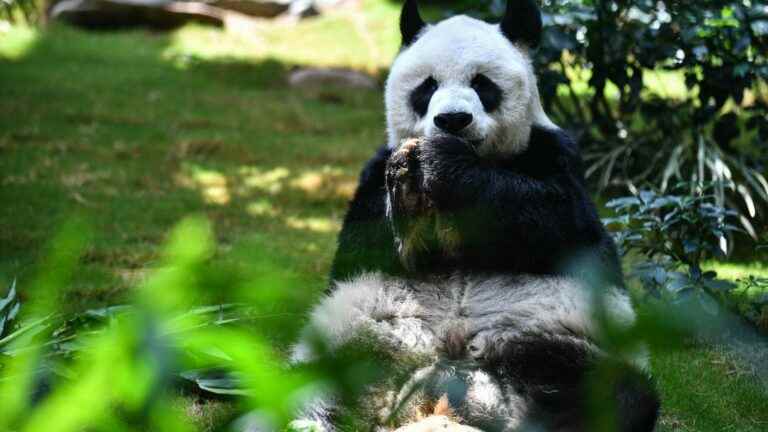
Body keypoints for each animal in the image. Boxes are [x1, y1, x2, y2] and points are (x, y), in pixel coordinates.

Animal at [288, 1, 660, 430]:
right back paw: (312, 418)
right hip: (359, 341)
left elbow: (553, 216)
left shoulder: (556, 155)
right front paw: (411, 195)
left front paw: (442, 165)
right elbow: (368, 242)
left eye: (483, 84)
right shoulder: (373, 174)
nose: (453, 120)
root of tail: (437, 395)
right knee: (311, 385)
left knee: (612, 394)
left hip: (555, 342)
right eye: (427, 86)